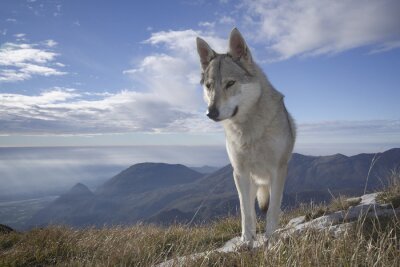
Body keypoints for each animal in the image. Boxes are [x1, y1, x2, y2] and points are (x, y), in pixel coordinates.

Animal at [195, 28, 296, 248]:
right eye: (209, 86)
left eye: (230, 83)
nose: (210, 112)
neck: (250, 130)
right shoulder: (239, 173)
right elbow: (245, 213)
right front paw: (247, 241)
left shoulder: (278, 170)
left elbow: (272, 211)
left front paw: (271, 241)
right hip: (250, 182)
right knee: (249, 207)